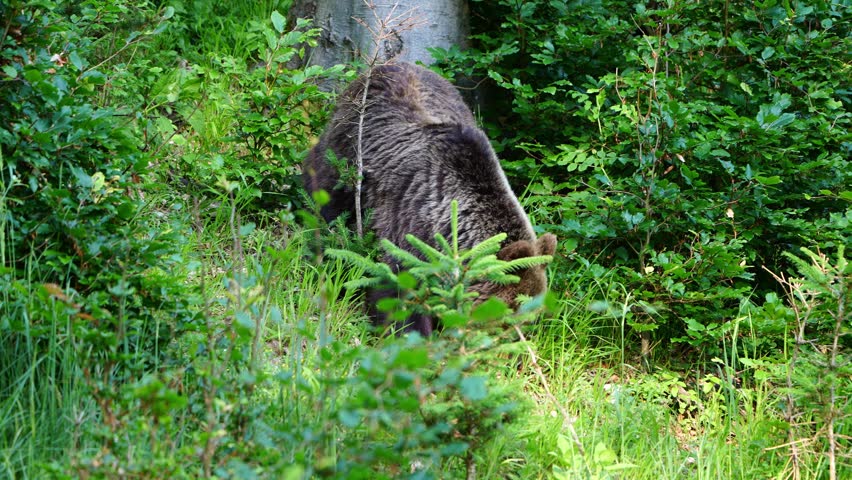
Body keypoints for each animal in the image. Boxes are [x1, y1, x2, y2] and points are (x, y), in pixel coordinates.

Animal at [303, 62, 556, 335]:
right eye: (504, 317)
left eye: (528, 318)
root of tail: (387, 64)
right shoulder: (409, 228)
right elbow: (399, 294)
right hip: (344, 155)